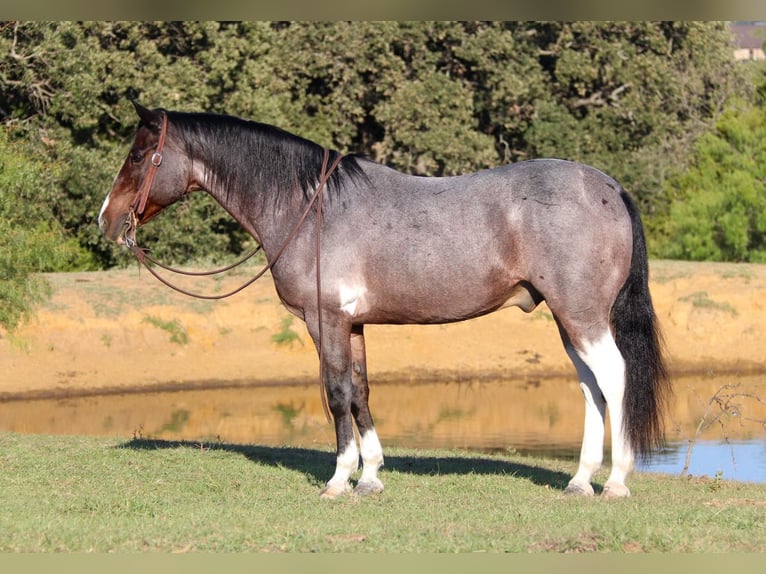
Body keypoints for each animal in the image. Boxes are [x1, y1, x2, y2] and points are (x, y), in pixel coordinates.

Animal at [99, 102, 668, 500]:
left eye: (137, 156)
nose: (107, 219)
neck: (311, 209)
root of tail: (608, 186)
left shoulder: (324, 321)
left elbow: (335, 394)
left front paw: (339, 479)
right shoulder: (353, 325)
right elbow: (361, 391)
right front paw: (371, 475)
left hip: (582, 317)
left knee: (614, 377)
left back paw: (615, 482)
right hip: (567, 321)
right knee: (591, 387)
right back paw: (579, 481)